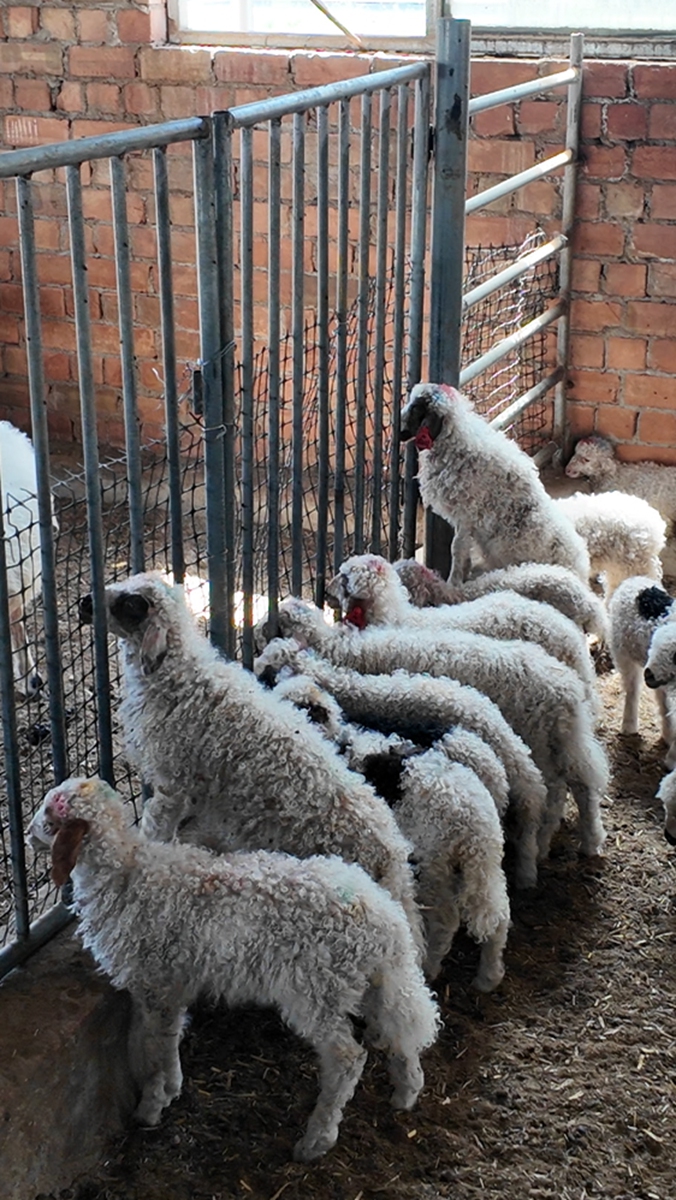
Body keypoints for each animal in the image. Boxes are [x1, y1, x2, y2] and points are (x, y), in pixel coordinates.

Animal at [28, 776, 439, 1162]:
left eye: (49, 813)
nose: (31, 836)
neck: (126, 874)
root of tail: (386, 921)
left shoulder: (156, 983)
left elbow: (154, 1046)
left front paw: (152, 1104)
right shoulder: (171, 985)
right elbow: (168, 1039)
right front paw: (172, 1088)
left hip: (317, 990)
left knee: (346, 1059)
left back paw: (316, 1140)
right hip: (372, 982)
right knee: (400, 1027)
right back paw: (406, 1092)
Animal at [78, 573, 423, 948]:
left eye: (131, 604)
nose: (84, 604)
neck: (179, 681)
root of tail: (392, 860)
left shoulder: (173, 781)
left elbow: (156, 827)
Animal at [253, 605, 609, 863]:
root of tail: (566, 690)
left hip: (539, 740)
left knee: (555, 790)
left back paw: (547, 844)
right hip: (561, 738)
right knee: (581, 781)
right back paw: (589, 840)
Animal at [274, 676, 511, 989]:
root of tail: (473, 816)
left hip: (432, 862)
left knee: (446, 917)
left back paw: (431, 968)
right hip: (485, 864)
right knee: (497, 914)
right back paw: (489, 976)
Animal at [399, 383, 590, 585]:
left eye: (416, 408)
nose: (399, 432)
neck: (455, 442)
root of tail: (579, 569)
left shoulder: (466, 513)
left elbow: (457, 548)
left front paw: (454, 582)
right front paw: (464, 574)